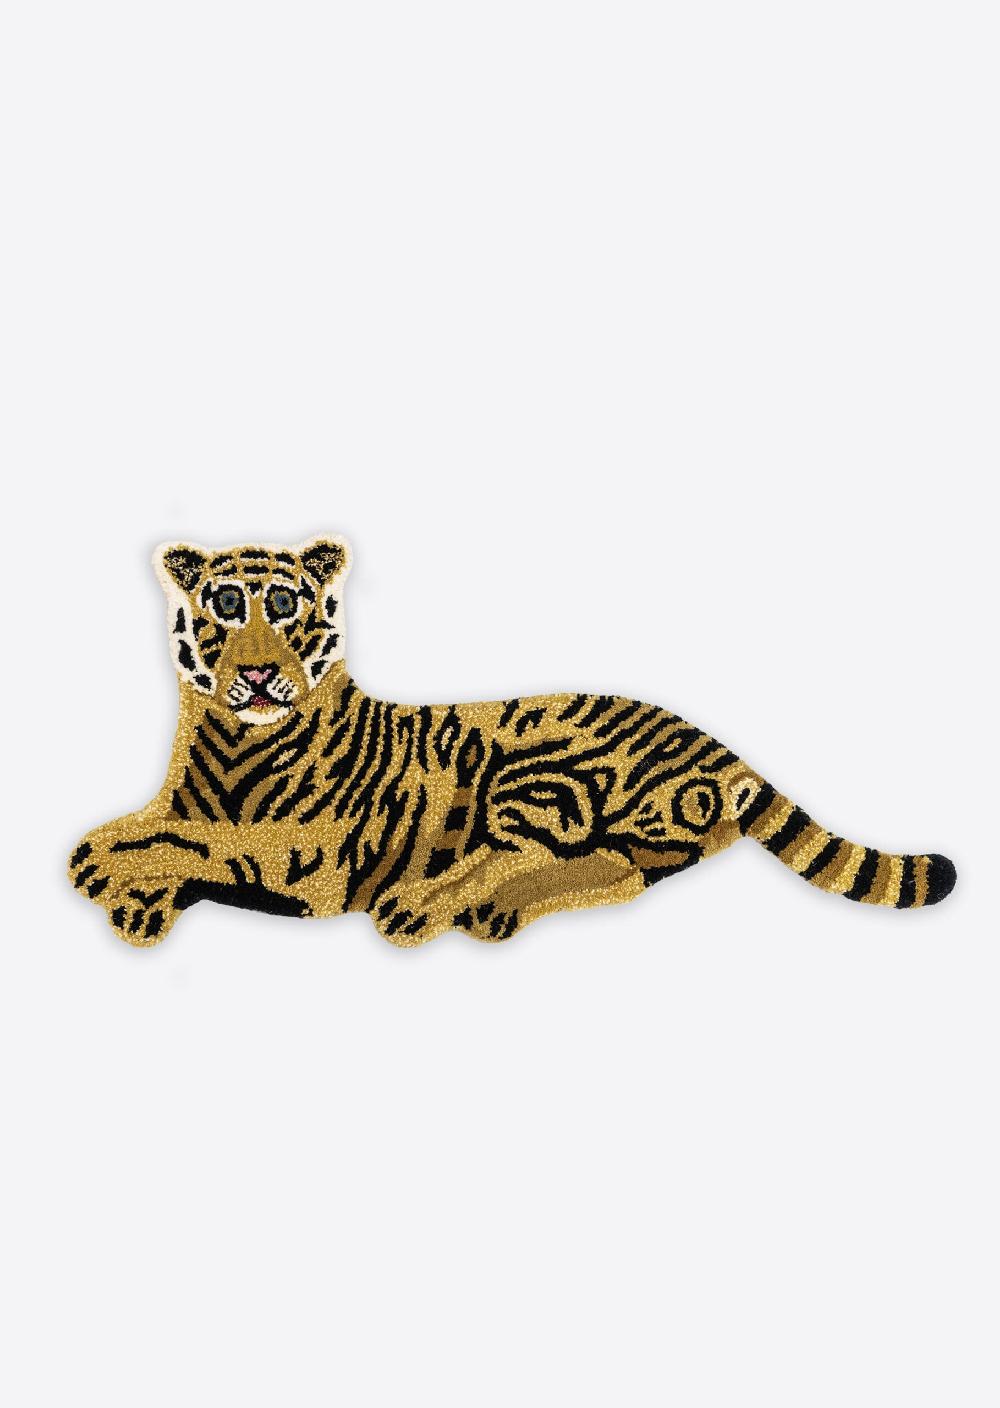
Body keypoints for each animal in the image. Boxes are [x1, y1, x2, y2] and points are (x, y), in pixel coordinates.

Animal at [68, 535, 956, 947]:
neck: (228, 740)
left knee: (535, 851)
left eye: (285, 608)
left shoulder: (306, 856)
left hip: (535, 766)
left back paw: (427, 904)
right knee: (619, 872)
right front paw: (132, 895)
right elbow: (147, 834)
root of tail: (708, 742)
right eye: (224, 606)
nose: (257, 674)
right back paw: (491, 912)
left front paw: (117, 877)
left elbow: (202, 846)